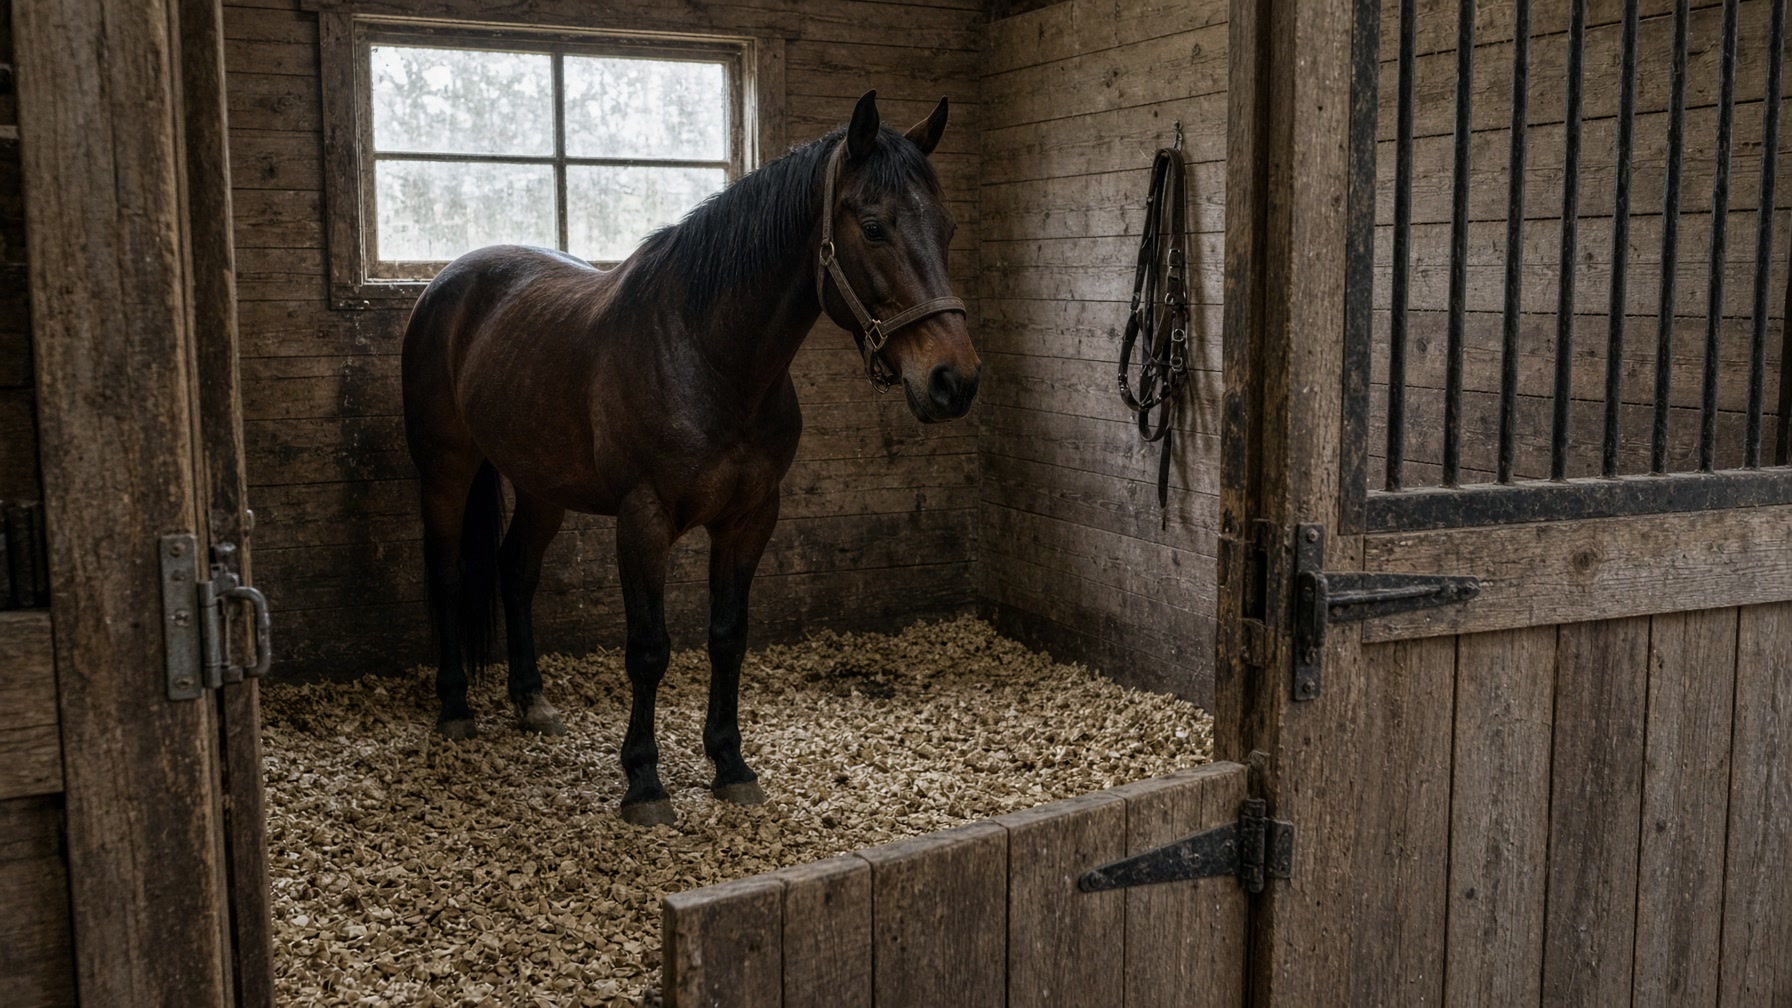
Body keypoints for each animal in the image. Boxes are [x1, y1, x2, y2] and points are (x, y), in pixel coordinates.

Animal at [401, 91, 980, 826]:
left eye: (948, 228)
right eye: (874, 227)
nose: (953, 381)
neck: (710, 358)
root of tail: (446, 282)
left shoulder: (750, 518)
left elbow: (728, 636)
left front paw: (730, 766)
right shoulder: (643, 520)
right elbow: (649, 650)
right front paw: (644, 782)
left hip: (541, 484)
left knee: (516, 572)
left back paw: (531, 701)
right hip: (445, 469)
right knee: (447, 574)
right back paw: (455, 707)